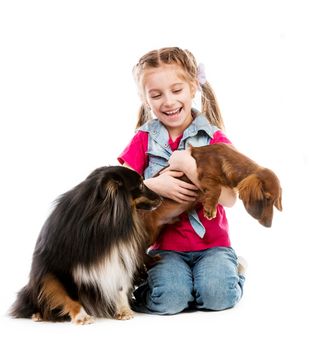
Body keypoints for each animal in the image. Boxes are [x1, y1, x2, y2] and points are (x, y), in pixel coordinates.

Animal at [9, 165, 162, 324]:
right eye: (140, 185)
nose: (161, 198)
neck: (103, 220)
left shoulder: (118, 255)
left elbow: (119, 285)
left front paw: (123, 310)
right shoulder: (60, 268)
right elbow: (69, 294)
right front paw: (81, 316)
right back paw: (37, 314)